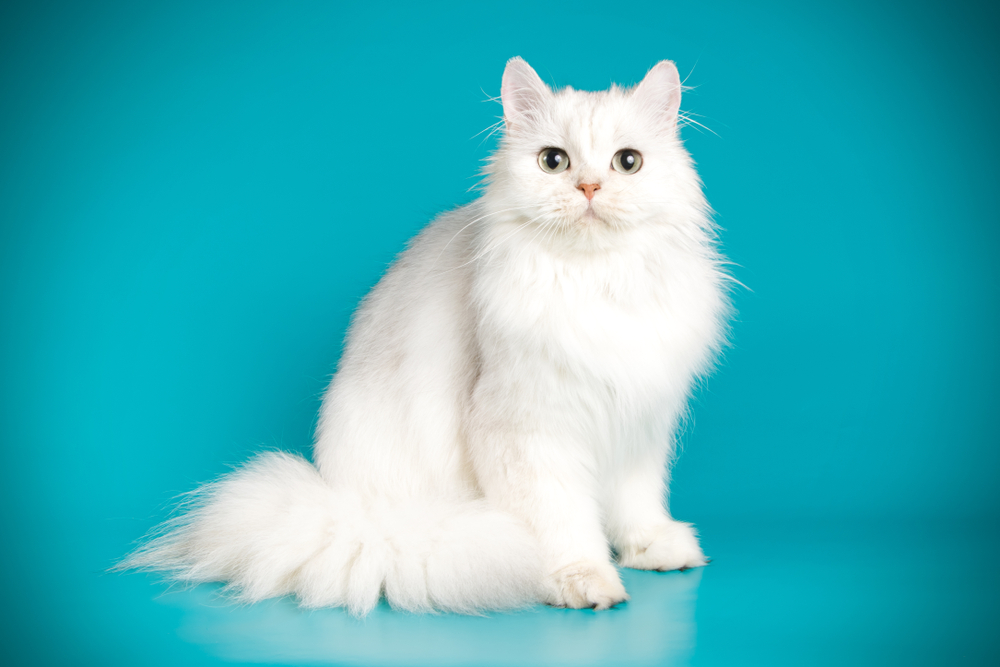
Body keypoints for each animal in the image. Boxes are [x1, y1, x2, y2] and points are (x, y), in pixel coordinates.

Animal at [121, 57, 732, 616]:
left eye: (627, 162)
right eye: (553, 161)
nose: (588, 187)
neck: (598, 283)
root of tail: (363, 516)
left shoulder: (638, 421)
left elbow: (638, 503)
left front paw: (652, 549)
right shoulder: (529, 432)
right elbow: (561, 521)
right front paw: (582, 579)